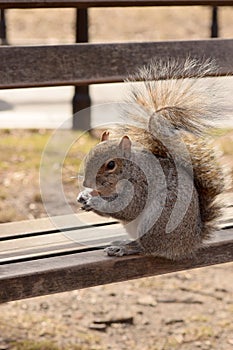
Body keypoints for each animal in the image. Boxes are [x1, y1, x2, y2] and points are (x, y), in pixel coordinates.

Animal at [77, 58, 225, 260]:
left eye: (111, 165)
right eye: (89, 154)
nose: (86, 182)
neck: (131, 171)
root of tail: (190, 242)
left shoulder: (141, 187)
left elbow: (127, 207)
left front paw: (94, 201)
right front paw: (85, 195)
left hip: (157, 221)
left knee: (147, 248)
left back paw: (124, 248)